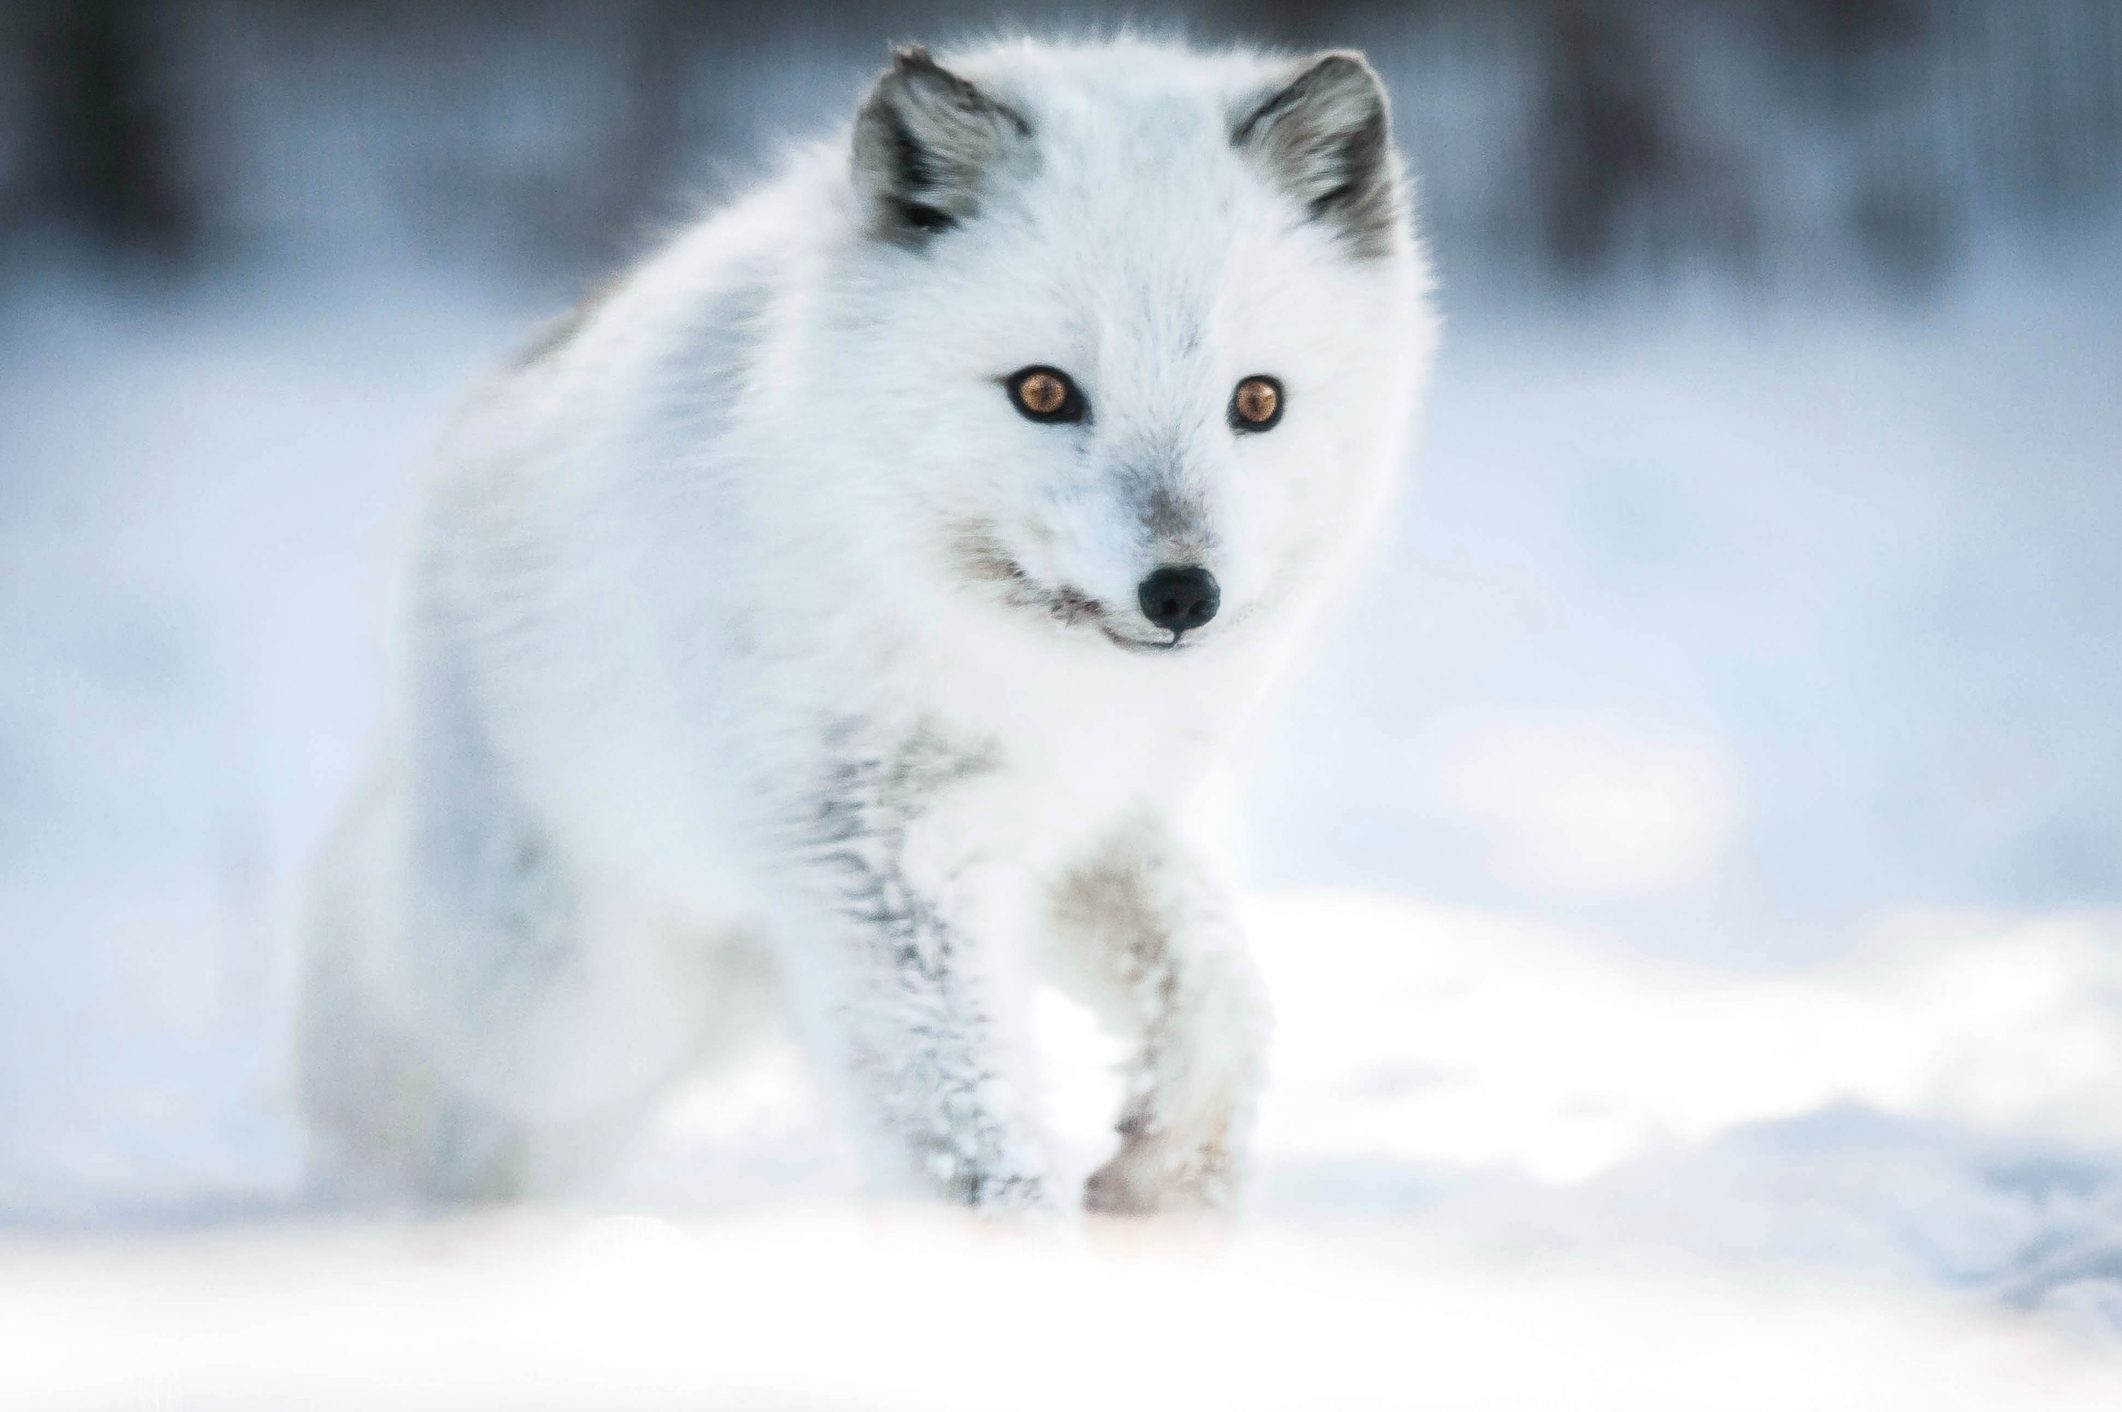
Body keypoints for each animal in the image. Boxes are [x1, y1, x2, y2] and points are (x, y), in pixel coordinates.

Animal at [298, 36, 1436, 1217]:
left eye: (1257, 403)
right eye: (1043, 392)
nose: (1182, 594)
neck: (1020, 673)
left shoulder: (1094, 824)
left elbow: (1219, 993)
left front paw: (1167, 1172)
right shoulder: (877, 858)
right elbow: (970, 1140)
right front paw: (1030, 1251)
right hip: (574, 1003)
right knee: (426, 1030)